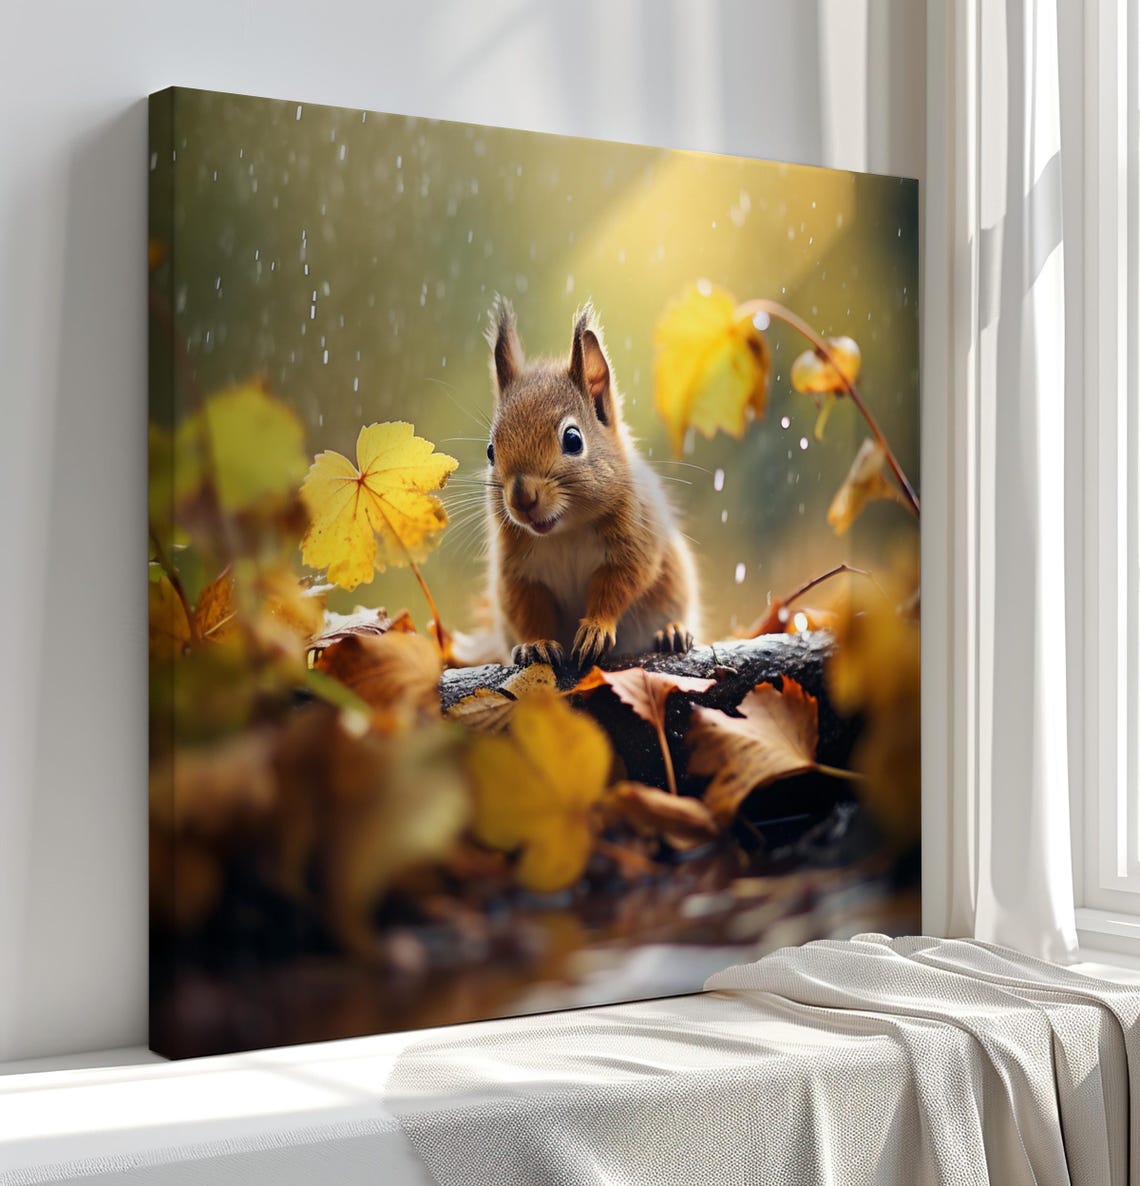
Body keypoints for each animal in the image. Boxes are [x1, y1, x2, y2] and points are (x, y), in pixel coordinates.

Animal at [483, 297, 699, 668]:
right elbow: (528, 608)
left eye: (573, 439)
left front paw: (596, 629)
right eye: (490, 452)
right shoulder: (517, 570)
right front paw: (535, 644)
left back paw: (672, 631)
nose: (522, 499)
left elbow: (619, 585)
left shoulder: (634, 539)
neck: (565, 531)